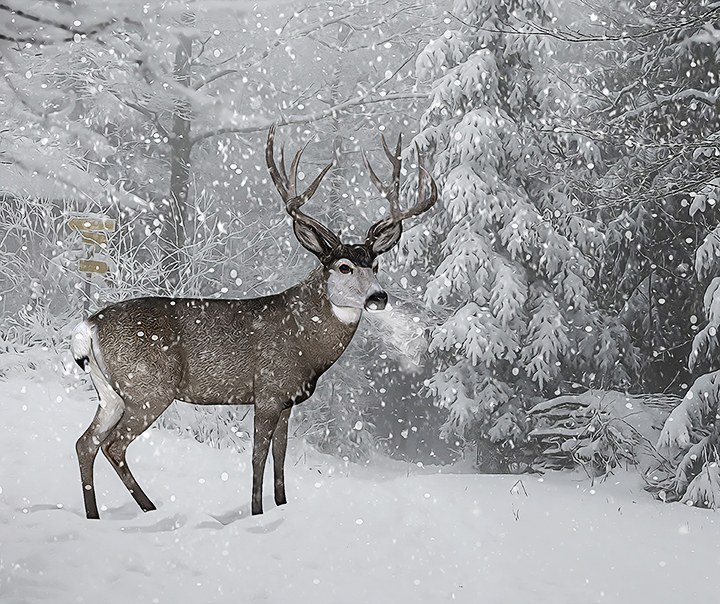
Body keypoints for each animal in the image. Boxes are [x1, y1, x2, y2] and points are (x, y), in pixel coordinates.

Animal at [71, 124, 437, 519]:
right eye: (343, 266)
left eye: (376, 264)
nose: (378, 297)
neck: (305, 343)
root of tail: (88, 326)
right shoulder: (268, 390)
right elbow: (258, 456)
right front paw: (257, 512)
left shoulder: (289, 401)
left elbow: (280, 456)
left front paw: (282, 505)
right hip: (148, 387)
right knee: (113, 445)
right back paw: (149, 508)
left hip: (110, 393)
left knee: (85, 442)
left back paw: (96, 515)